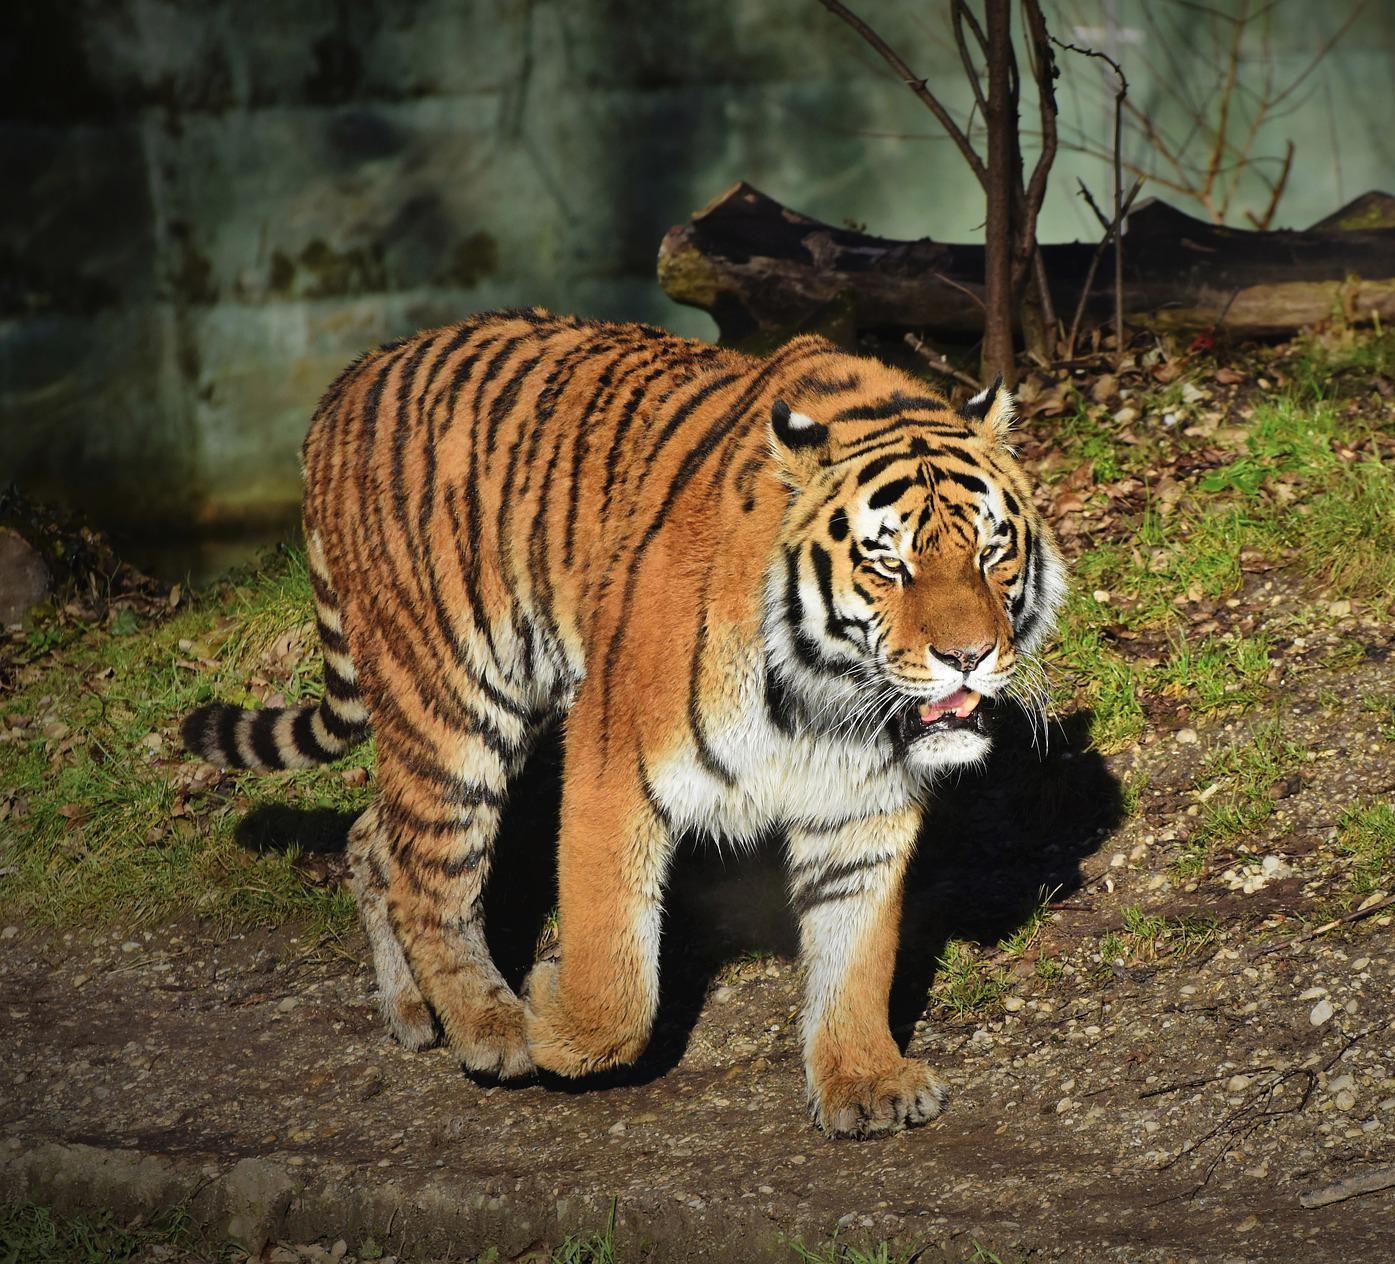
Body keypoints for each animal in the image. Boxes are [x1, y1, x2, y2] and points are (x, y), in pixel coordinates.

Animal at [179, 309, 1060, 1138]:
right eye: (889, 564)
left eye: (991, 553)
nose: (967, 657)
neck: (826, 693)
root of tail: (349, 380)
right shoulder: (613, 759)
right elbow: (616, 972)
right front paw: (552, 1019)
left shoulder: (860, 805)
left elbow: (856, 953)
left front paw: (864, 1080)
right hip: (452, 702)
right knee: (430, 876)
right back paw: (489, 1026)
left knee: (374, 838)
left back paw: (412, 1010)